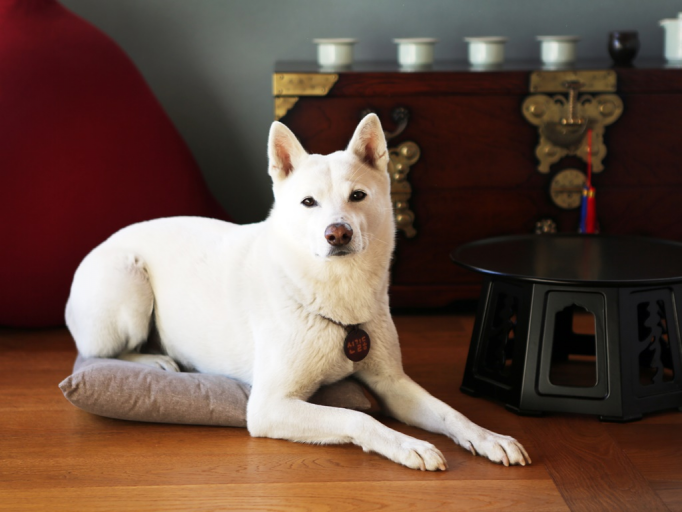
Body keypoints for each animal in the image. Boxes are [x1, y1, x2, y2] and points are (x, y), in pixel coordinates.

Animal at [65, 114, 530, 470]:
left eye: (357, 196)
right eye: (308, 202)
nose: (337, 233)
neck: (335, 290)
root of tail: (104, 243)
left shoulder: (392, 383)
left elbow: (450, 412)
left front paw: (488, 437)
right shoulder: (270, 407)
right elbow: (357, 419)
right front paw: (408, 445)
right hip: (129, 283)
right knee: (98, 353)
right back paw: (155, 359)